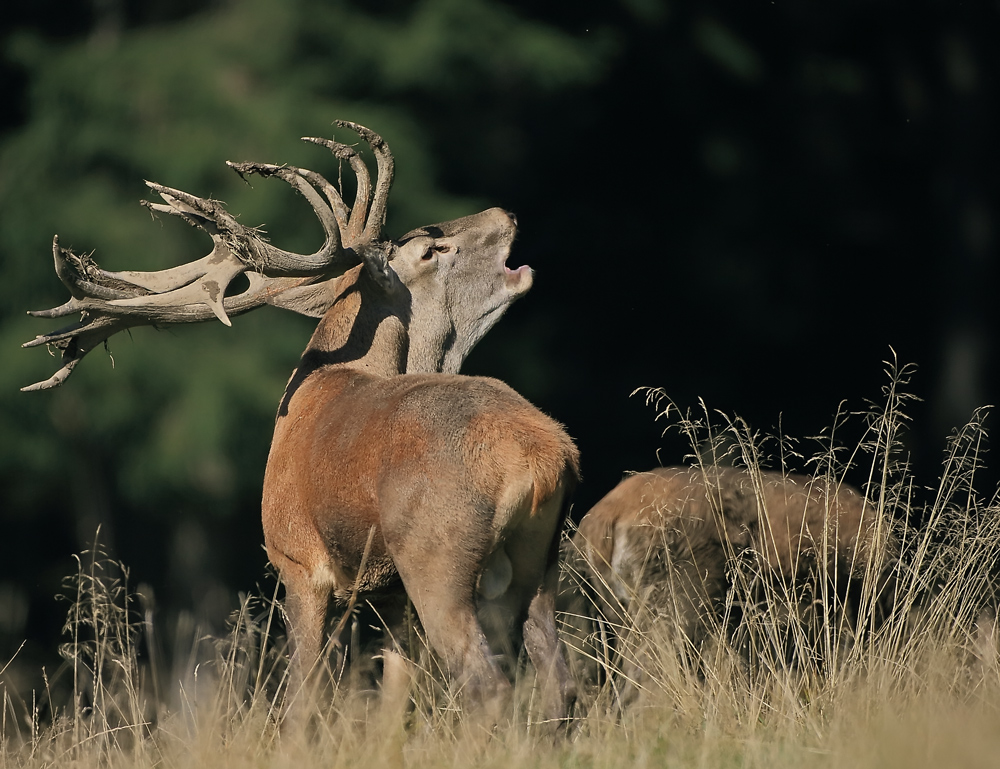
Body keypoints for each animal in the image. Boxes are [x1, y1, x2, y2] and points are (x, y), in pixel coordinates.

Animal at [25, 123, 580, 724]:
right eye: (432, 249)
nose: (506, 213)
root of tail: (545, 457)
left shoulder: (295, 560)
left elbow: (303, 700)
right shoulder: (384, 594)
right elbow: (393, 701)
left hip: (438, 554)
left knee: (488, 683)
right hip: (539, 563)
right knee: (559, 681)